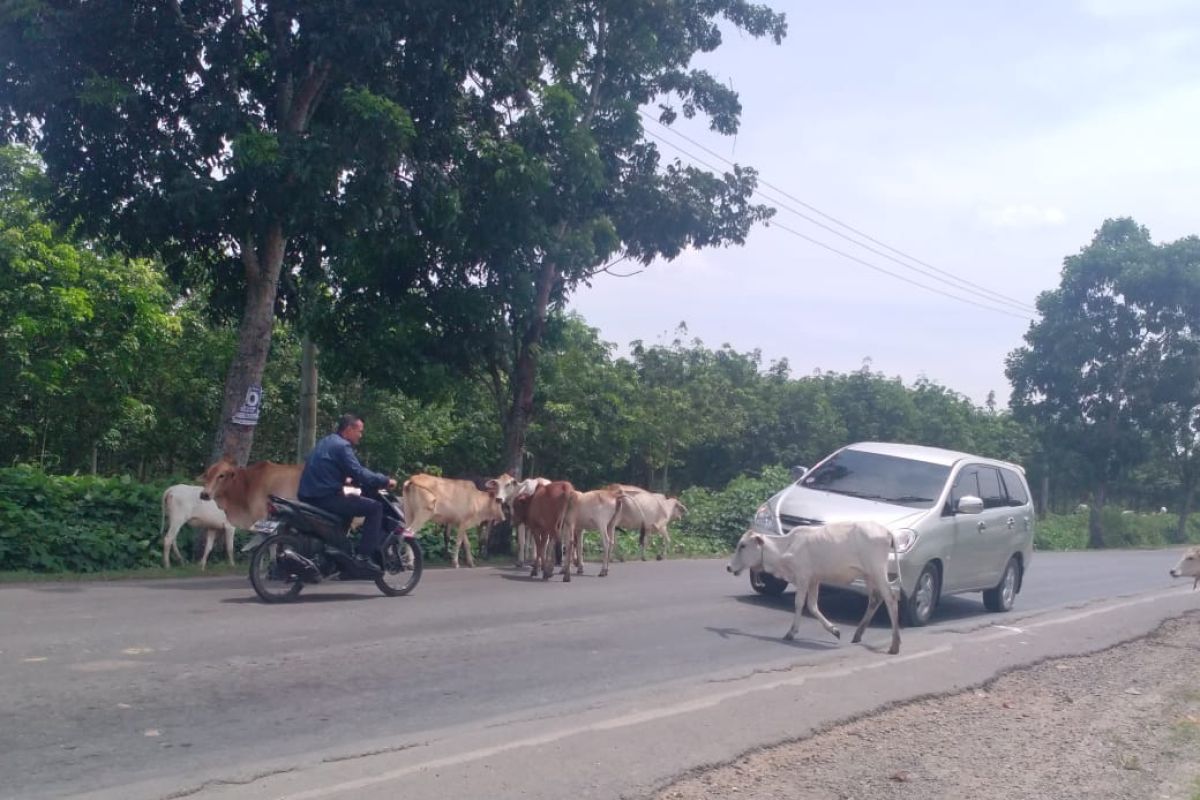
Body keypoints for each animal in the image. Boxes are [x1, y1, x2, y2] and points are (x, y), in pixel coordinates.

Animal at [720, 520, 902, 657]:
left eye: (743, 545)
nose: (729, 567)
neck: (785, 548)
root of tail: (887, 531)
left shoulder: (803, 577)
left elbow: (799, 603)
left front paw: (791, 633)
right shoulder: (814, 580)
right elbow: (812, 606)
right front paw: (834, 630)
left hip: (877, 571)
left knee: (891, 598)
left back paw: (894, 645)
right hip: (868, 574)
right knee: (875, 598)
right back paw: (858, 634)